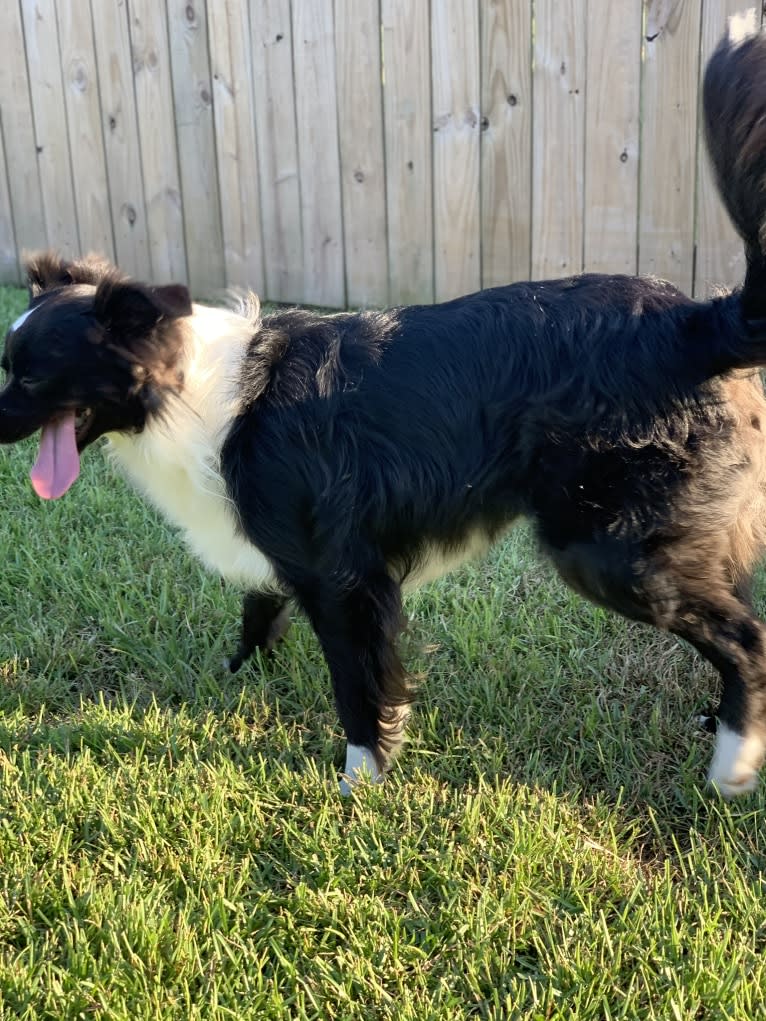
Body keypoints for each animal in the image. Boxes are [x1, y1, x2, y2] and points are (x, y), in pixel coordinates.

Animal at [1, 25, 766, 796]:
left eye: (29, 377)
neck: (187, 389)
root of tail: (694, 321)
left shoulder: (342, 575)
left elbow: (357, 681)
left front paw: (359, 775)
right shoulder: (283, 551)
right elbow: (257, 611)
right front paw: (232, 677)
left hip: (611, 550)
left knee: (746, 637)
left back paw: (735, 758)